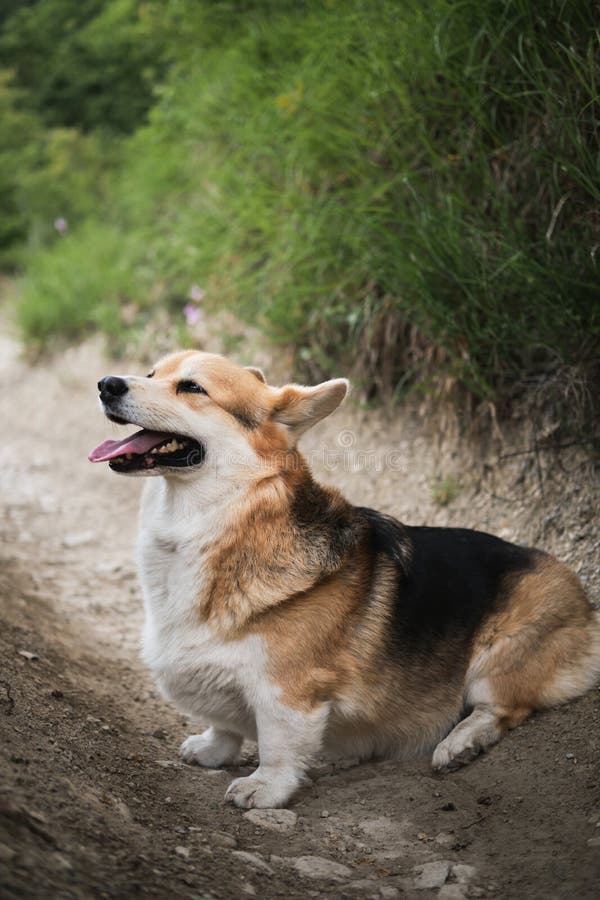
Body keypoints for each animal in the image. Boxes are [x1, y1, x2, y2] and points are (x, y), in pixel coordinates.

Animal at [89, 350, 600, 808]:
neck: (226, 518)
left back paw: (459, 743)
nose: (107, 384)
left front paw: (264, 788)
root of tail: (583, 600)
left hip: (499, 658)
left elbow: (278, 745)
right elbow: (226, 725)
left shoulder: (287, 692)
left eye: (192, 387)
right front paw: (214, 748)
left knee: (503, 707)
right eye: (151, 373)